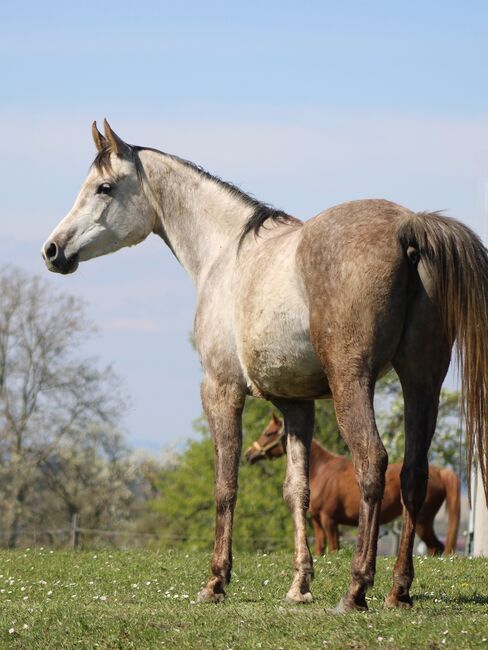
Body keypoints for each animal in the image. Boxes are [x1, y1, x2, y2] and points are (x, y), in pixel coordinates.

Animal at [246, 412, 460, 556]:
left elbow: (334, 548)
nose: (249, 454)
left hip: (423, 522)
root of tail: (440, 472)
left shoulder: (329, 520)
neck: (321, 471)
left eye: (268, 432)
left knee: (435, 547)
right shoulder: (316, 521)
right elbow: (320, 548)